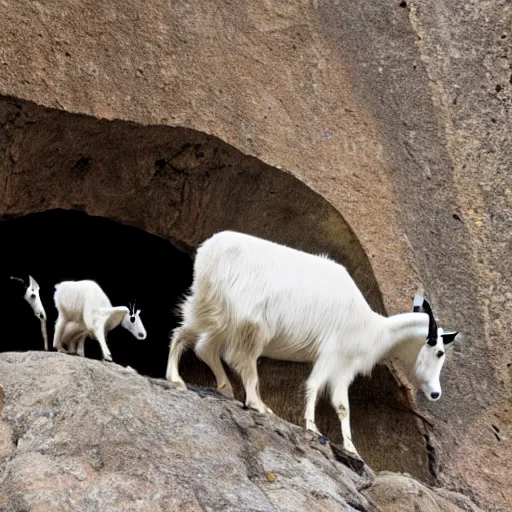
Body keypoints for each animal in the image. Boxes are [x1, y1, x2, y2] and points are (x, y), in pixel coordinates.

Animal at [168, 231, 460, 456]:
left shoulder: (343, 368)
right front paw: (311, 427)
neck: (372, 328)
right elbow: (314, 387)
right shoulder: (331, 355)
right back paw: (253, 403)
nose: (435, 393)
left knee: (197, 343)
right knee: (235, 358)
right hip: (245, 323)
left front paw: (352, 450)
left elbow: (342, 406)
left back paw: (207, 385)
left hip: (213, 311)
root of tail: (208, 251)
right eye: (439, 352)